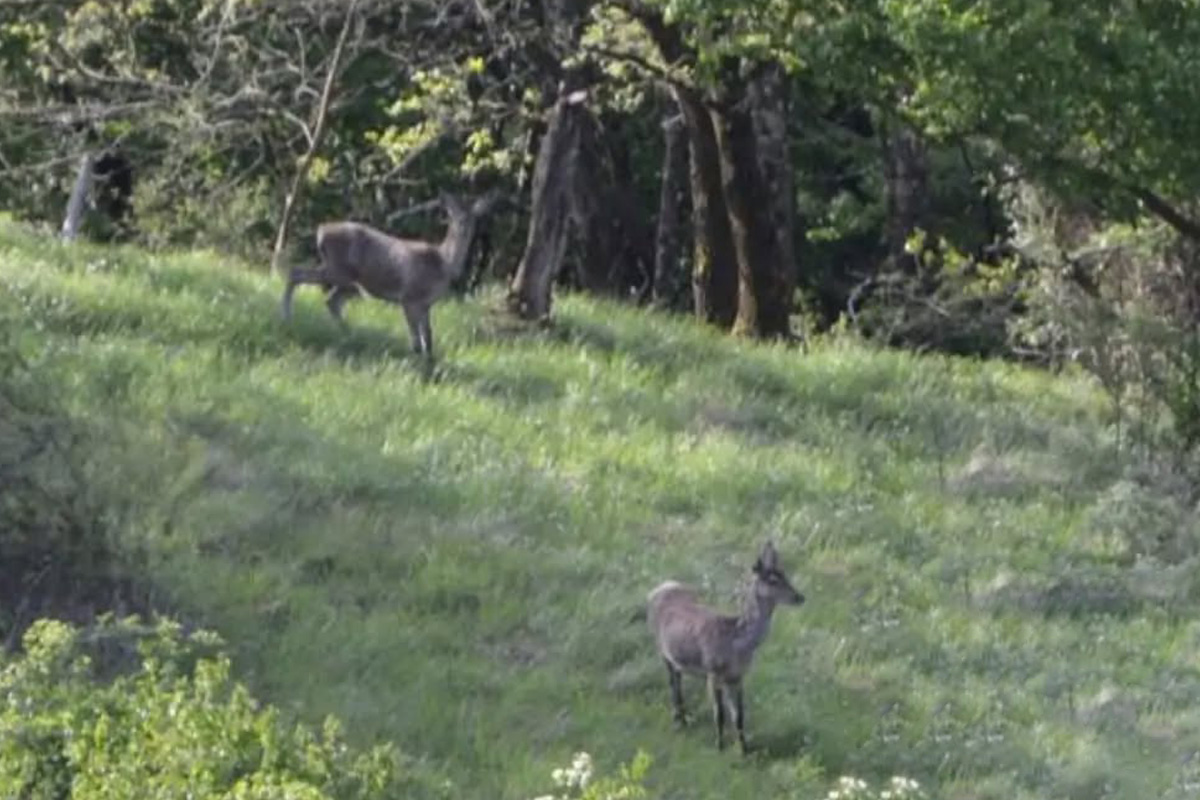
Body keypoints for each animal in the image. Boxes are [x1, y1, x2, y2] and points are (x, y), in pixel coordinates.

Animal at [280, 191, 497, 360]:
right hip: (338, 270)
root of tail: (321, 231)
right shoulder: (409, 297)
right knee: (296, 273)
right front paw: (418, 365)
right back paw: (287, 318)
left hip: (349, 281)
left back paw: (349, 335)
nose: (463, 225)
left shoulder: (426, 304)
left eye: (474, 217)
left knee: (331, 300)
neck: (443, 262)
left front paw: (430, 362)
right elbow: (416, 340)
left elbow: (428, 338)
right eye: (453, 215)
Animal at [647, 540, 804, 754]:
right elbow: (719, 714)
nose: (800, 597)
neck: (735, 643)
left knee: (677, 680)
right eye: (772, 580)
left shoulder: (738, 677)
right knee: (673, 684)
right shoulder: (713, 672)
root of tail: (658, 588)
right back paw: (678, 721)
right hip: (661, 649)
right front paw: (720, 747)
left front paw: (744, 750)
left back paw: (683, 720)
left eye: (785, 575)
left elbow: (739, 716)